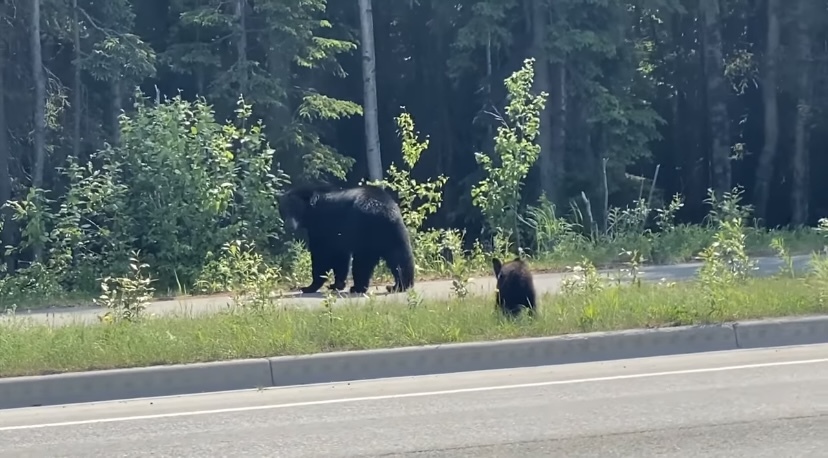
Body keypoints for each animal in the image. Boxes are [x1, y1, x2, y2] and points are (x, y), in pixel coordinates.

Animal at [278, 182, 418, 294]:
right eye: (284, 210)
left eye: (295, 209)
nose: (289, 225)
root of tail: (381, 209)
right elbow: (341, 256)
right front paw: (336, 284)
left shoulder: (323, 226)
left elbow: (321, 254)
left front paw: (309, 287)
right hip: (394, 230)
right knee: (400, 257)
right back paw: (400, 286)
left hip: (365, 231)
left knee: (363, 261)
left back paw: (358, 287)